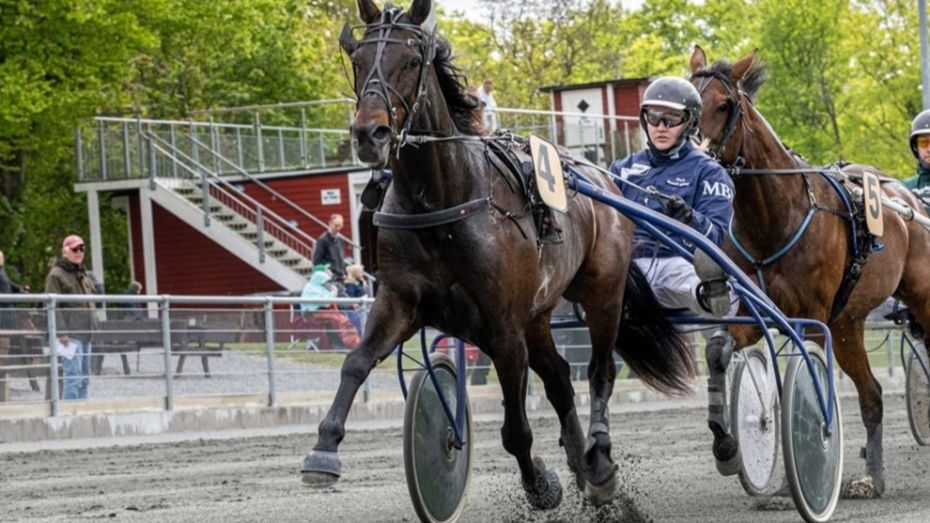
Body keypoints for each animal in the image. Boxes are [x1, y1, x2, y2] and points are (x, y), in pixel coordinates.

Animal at [300, 0, 697, 510]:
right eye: (358, 59)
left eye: (411, 61)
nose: (370, 133)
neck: (443, 201)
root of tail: (603, 178)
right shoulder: (398, 302)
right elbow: (355, 362)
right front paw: (323, 451)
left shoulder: (504, 326)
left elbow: (516, 432)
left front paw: (541, 485)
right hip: (540, 314)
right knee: (560, 376)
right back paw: (581, 459)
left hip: (603, 295)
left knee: (600, 371)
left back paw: (599, 461)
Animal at [690, 46, 930, 498]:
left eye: (723, 104)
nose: (694, 154)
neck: (775, 218)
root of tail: (911, 202)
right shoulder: (756, 313)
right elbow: (720, 352)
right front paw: (730, 448)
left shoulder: (813, 318)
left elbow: (806, 387)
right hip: (848, 323)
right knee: (872, 397)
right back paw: (873, 477)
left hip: (919, 298)